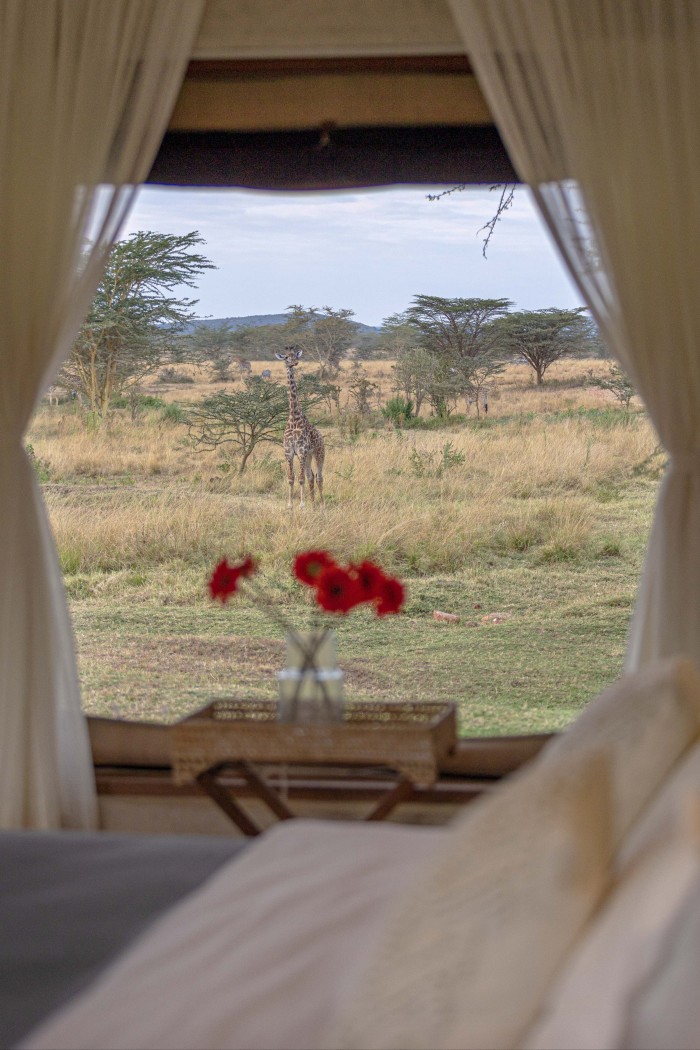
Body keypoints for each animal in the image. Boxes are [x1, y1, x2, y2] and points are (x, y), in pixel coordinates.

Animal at [274, 344, 327, 508]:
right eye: (286, 357)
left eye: (295, 356)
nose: (295, 363)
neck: (294, 418)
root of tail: (321, 437)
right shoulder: (289, 452)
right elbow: (291, 478)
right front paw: (290, 505)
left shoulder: (301, 451)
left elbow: (301, 478)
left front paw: (302, 505)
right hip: (309, 456)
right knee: (311, 476)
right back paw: (314, 505)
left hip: (319, 453)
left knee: (319, 477)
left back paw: (322, 505)